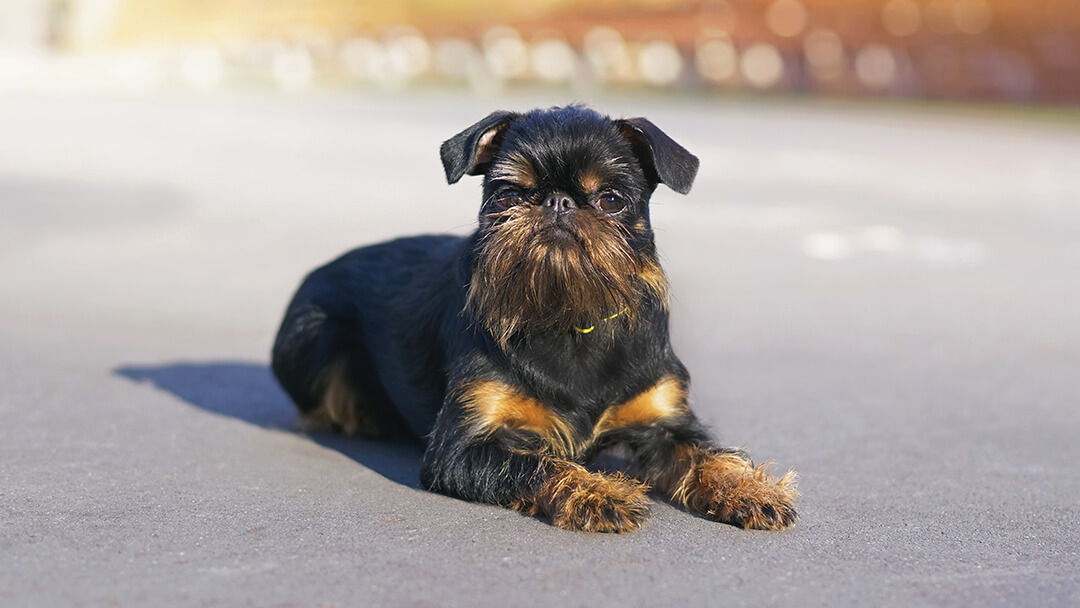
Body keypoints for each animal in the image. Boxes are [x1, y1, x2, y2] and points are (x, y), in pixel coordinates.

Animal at [270, 105, 799, 533]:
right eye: (508, 195)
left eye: (611, 200)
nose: (558, 201)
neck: (568, 315)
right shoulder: (461, 449)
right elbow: (540, 464)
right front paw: (599, 491)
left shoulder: (665, 421)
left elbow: (708, 454)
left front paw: (750, 488)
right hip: (312, 334)